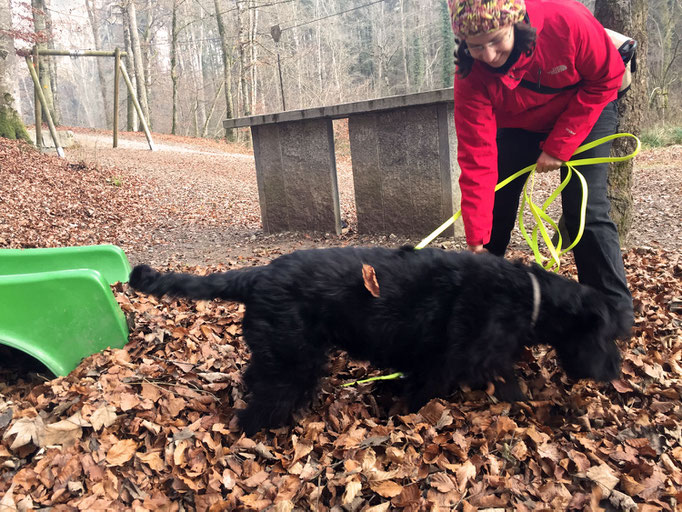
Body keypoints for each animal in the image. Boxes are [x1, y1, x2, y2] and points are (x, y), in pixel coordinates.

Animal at [127, 246, 628, 434]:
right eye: (606, 334)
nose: (615, 374)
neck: (531, 296)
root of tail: (257, 275)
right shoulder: (454, 362)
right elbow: (500, 386)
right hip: (294, 361)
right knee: (259, 407)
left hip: (281, 352)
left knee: (255, 379)